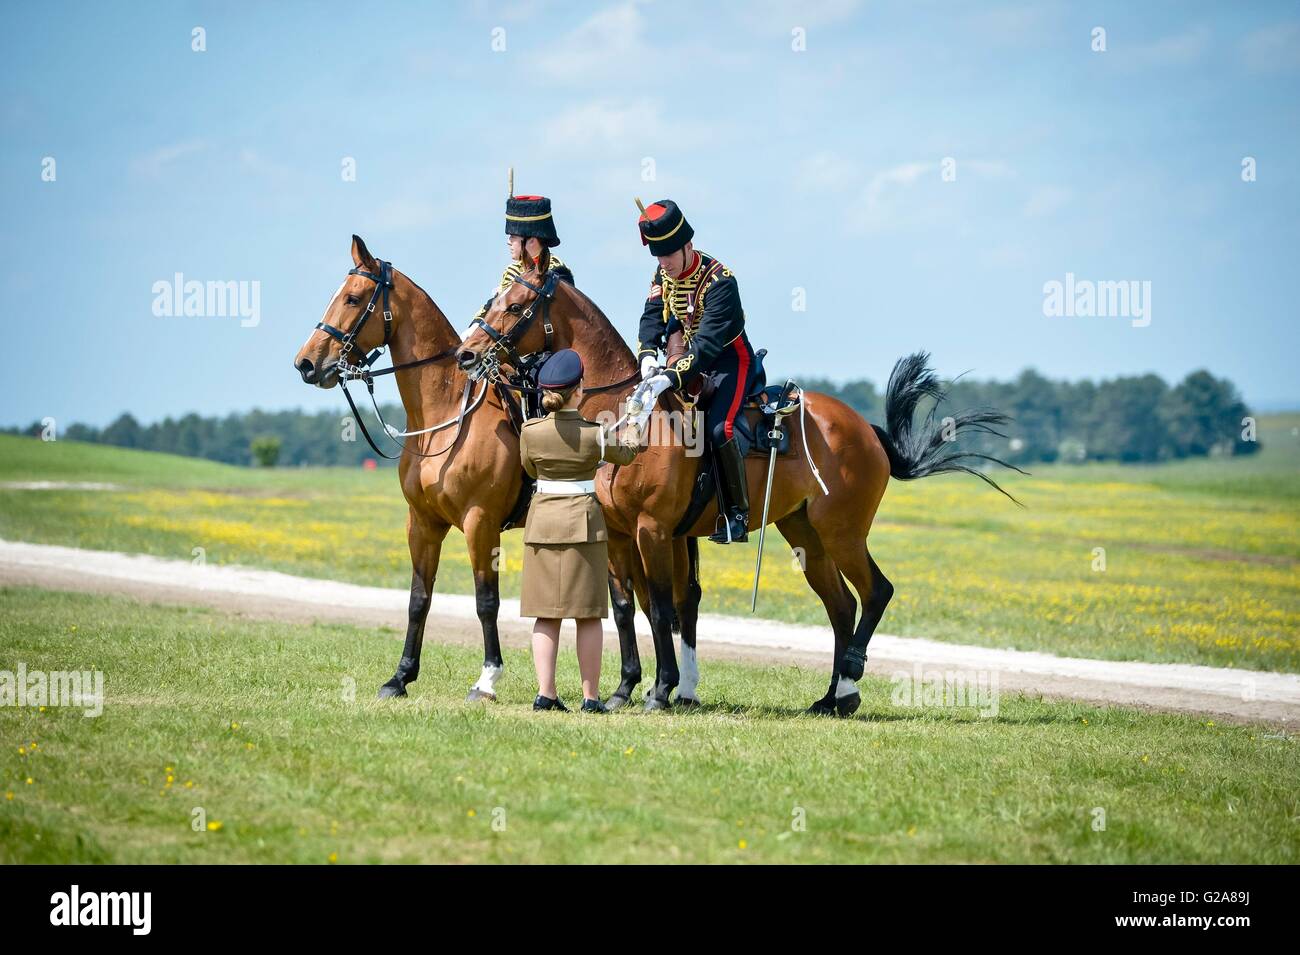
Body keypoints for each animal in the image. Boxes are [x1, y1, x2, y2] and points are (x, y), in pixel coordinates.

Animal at [293, 235, 533, 703]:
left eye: (352, 298)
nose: (306, 363)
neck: (445, 415)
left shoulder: (481, 522)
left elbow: (486, 601)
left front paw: (487, 679)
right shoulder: (422, 523)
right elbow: (418, 599)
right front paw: (400, 676)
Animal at [456, 248, 1019, 714]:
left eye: (514, 305)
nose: (467, 353)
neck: (623, 415)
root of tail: (864, 428)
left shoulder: (652, 530)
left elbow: (662, 608)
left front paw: (661, 690)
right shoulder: (616, 534)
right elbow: (625, 608)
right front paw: (623, 690)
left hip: (842, 531)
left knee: (876, 592)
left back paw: (852, 674)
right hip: (805, 535)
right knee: (841, 606)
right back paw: (833, 698)